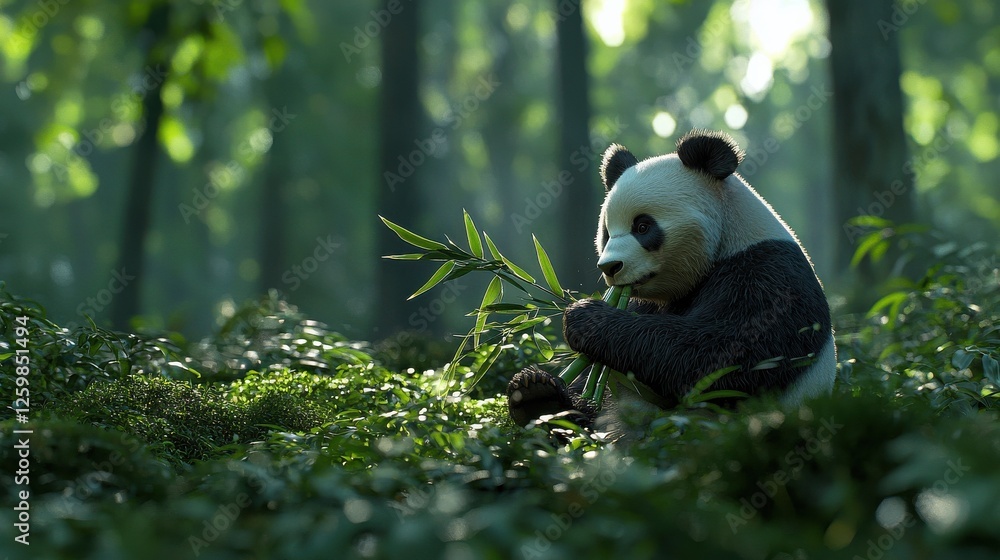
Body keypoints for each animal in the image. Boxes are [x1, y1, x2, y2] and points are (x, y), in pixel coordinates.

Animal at [507, 129, 836, 428]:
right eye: (607, 232)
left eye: (642, 226)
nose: (610, 267)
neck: (727, 239)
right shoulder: (642, 302)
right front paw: (539, 386)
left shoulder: (767, 274)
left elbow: (719, 358)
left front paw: (586, 317)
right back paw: (538, 397)